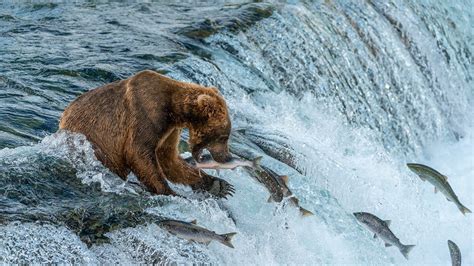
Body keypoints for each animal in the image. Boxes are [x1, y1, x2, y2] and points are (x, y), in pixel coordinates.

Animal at [59, 69, 235, 198]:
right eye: (223, 136)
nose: (227, 157)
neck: (174, 110)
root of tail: (62, 121)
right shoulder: (145, 113)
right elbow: (138, 153)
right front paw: (169, 191)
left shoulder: (169, 130)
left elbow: (168, 158)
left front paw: (220, 185)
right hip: (93, 141)